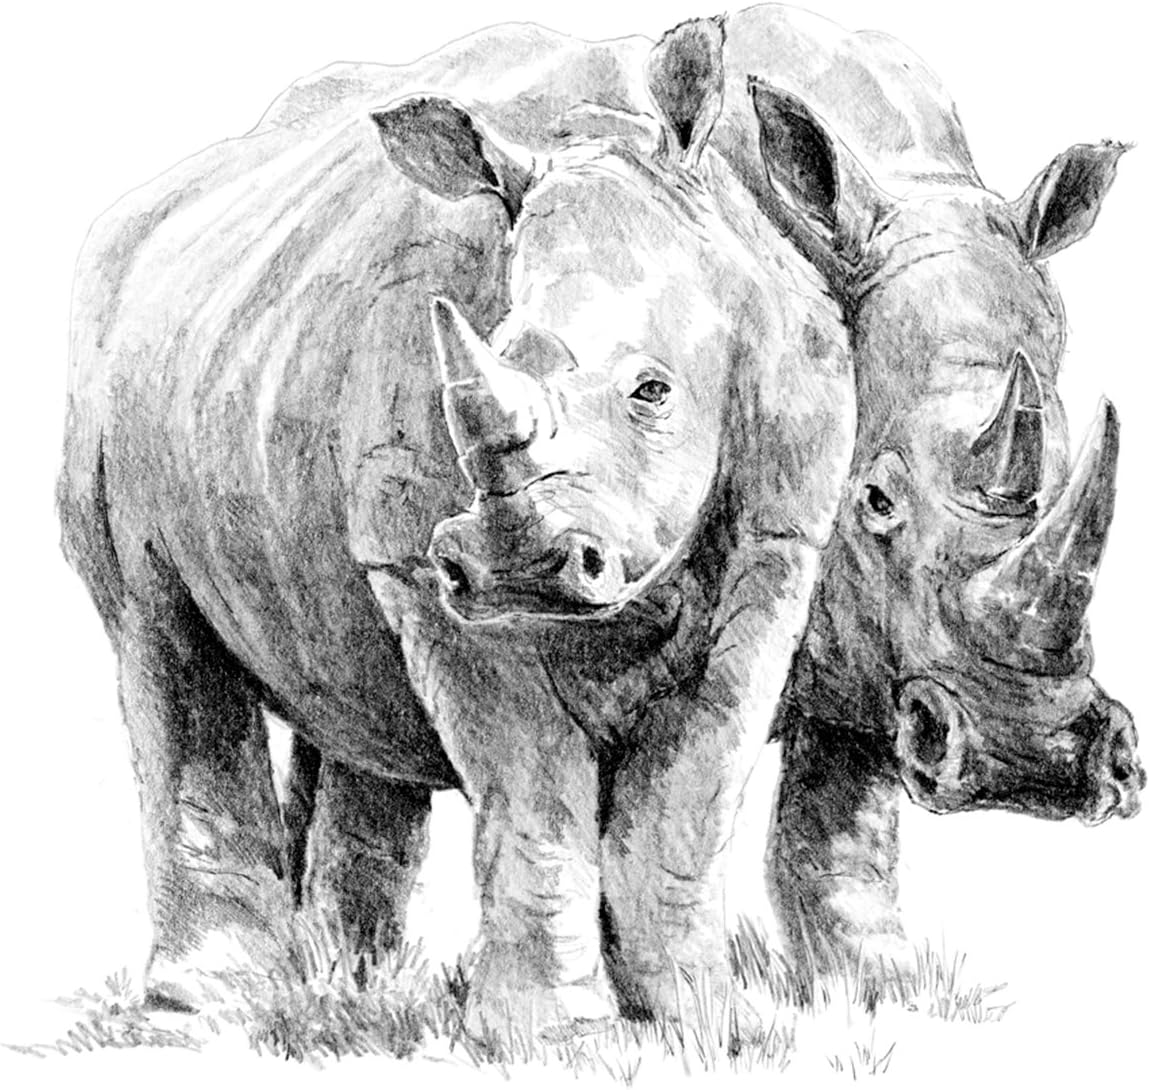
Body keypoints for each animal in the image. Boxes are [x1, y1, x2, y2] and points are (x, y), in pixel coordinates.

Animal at [58, 21, 854, 1033]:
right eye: (477, 366)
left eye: (653, 391)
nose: (519, 568)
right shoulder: (419, 565)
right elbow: (531, 786)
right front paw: (555, 1039)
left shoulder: (780, 534)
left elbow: (686, 794)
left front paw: (706, 1025)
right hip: (109, 384)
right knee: (157, 629)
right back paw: (212, 1009)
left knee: (337, 687)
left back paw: (348, 991)